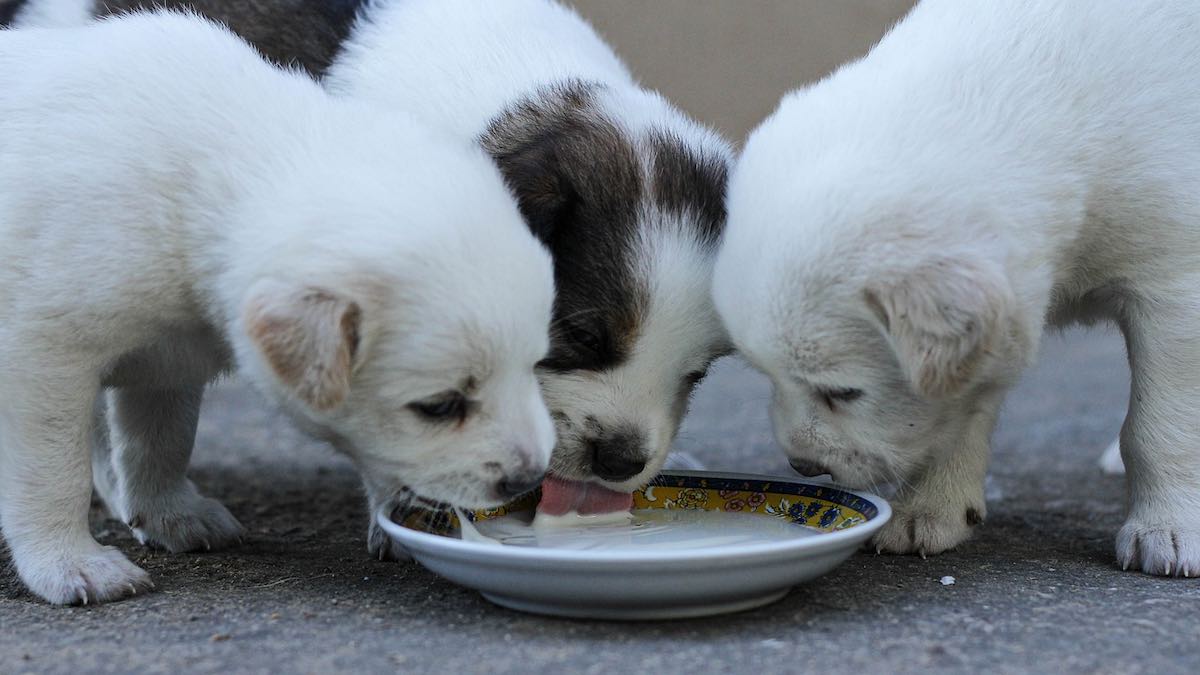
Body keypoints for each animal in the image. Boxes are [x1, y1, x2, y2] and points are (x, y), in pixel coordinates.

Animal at [0, 13, 552, 605]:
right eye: (439, 406)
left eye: (533, 367)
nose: (528, 480)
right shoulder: (44, 358)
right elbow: (54, 472)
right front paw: (69, 562)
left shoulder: (166, 360)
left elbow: (159, 441)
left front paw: (171, 513)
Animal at [710, 0, 1200, 571]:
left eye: (844, 392)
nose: (804, 466)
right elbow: (954, 412)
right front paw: (930, 507)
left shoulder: (1174, 292)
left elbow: (1161, 425)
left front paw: (1169, 527)